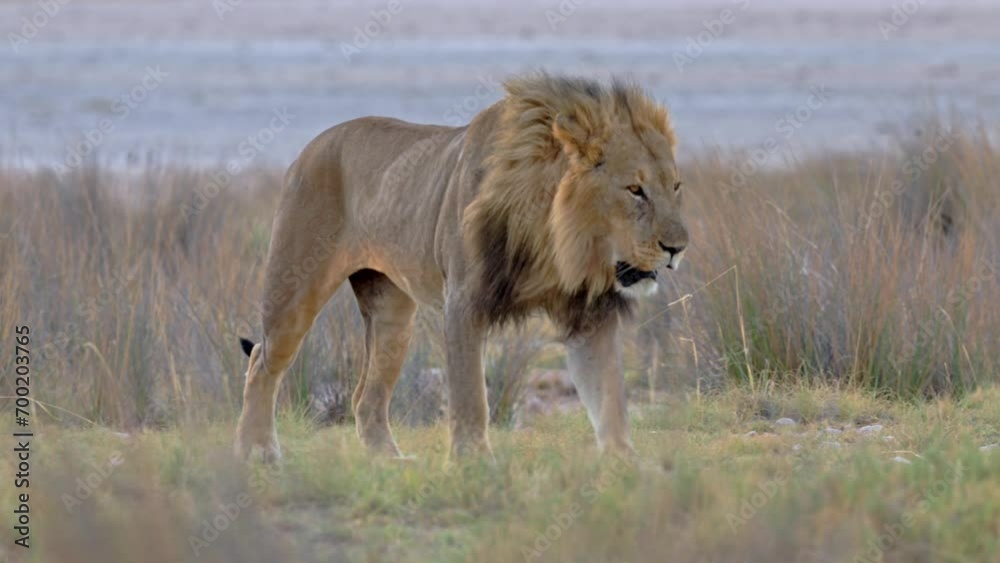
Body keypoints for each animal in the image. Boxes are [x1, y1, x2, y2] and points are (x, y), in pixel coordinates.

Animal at [235, 74, 689, 462]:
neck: (559, 243)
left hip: (392, 315)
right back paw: (258, 452)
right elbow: (472, 394)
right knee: (261, 361)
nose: (678, 248)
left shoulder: (590, 315)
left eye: (676, 186)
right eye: (635, 189)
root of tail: (311, 146)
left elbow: (609, 397)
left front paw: (626, 464)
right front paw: (474, 463)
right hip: (295, 290)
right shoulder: (464, 304)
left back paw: (390, 461)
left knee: (365, 395)